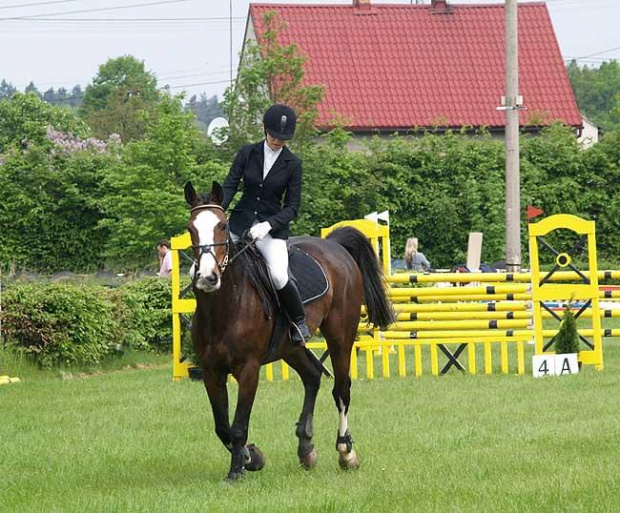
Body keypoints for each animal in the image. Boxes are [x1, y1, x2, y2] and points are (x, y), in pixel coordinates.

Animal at [184, 180, 392, 480]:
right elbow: (222, 427)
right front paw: (251, 456)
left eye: (222, 226)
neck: (224, 305)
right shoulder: (211, 372)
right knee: (313, 376)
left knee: (341, 390)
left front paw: (237, 471)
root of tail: (334, 246)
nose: (207, 278)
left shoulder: (248, 370)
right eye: (190, 228)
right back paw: (306, 448)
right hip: (290, 347)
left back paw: (346, 452)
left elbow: (238, 426)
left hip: (340, 336)